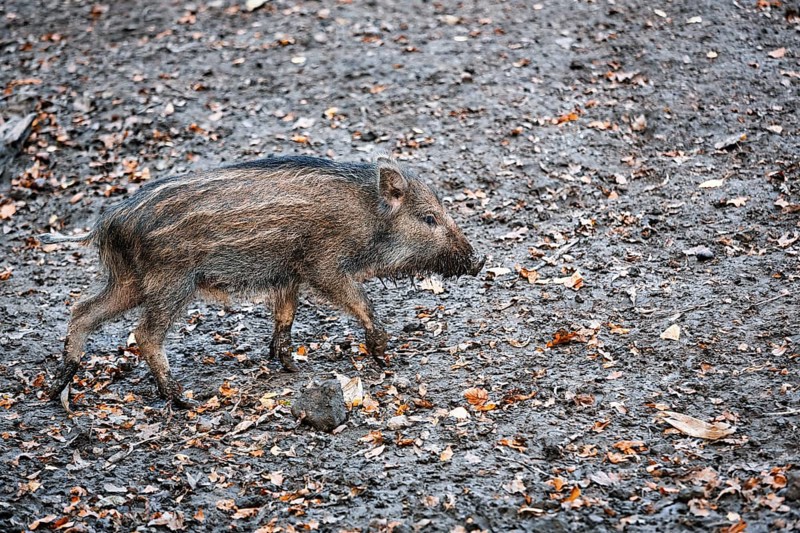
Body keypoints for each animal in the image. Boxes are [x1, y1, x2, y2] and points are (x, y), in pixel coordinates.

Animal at [40, 155, 485, 408]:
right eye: (429, 218)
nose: (478, 261)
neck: (367, 216)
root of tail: (108, 223)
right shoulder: (322, 265)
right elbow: (359, 300)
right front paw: (382, 353)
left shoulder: (287, 274)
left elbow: (285, 315)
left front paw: (287, 364)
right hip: (171, 280)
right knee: (145, 334)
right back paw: (182, 399)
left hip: (130, 280)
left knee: (81, 310)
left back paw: (59, 388)